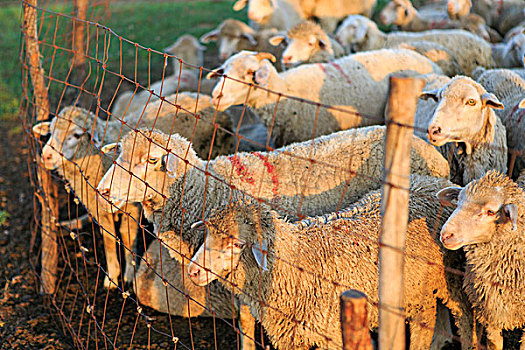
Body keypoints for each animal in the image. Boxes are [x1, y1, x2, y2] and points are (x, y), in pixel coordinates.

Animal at [32, 107, 140, 290]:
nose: (46, 155)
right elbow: (109, 239)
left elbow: (128, 237)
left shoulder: (133, 208)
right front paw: (112, 277)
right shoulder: (96, 206)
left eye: (76, 135)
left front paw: (129, 276)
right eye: (51, 130)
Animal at [187, 174, 474, 350]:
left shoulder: (332, 333)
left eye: (237, 244)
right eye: (208, 234)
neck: (294, 263)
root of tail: (431, 182)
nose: (193, 272)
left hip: (445, 282)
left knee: (460, 318)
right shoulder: (292, 336)